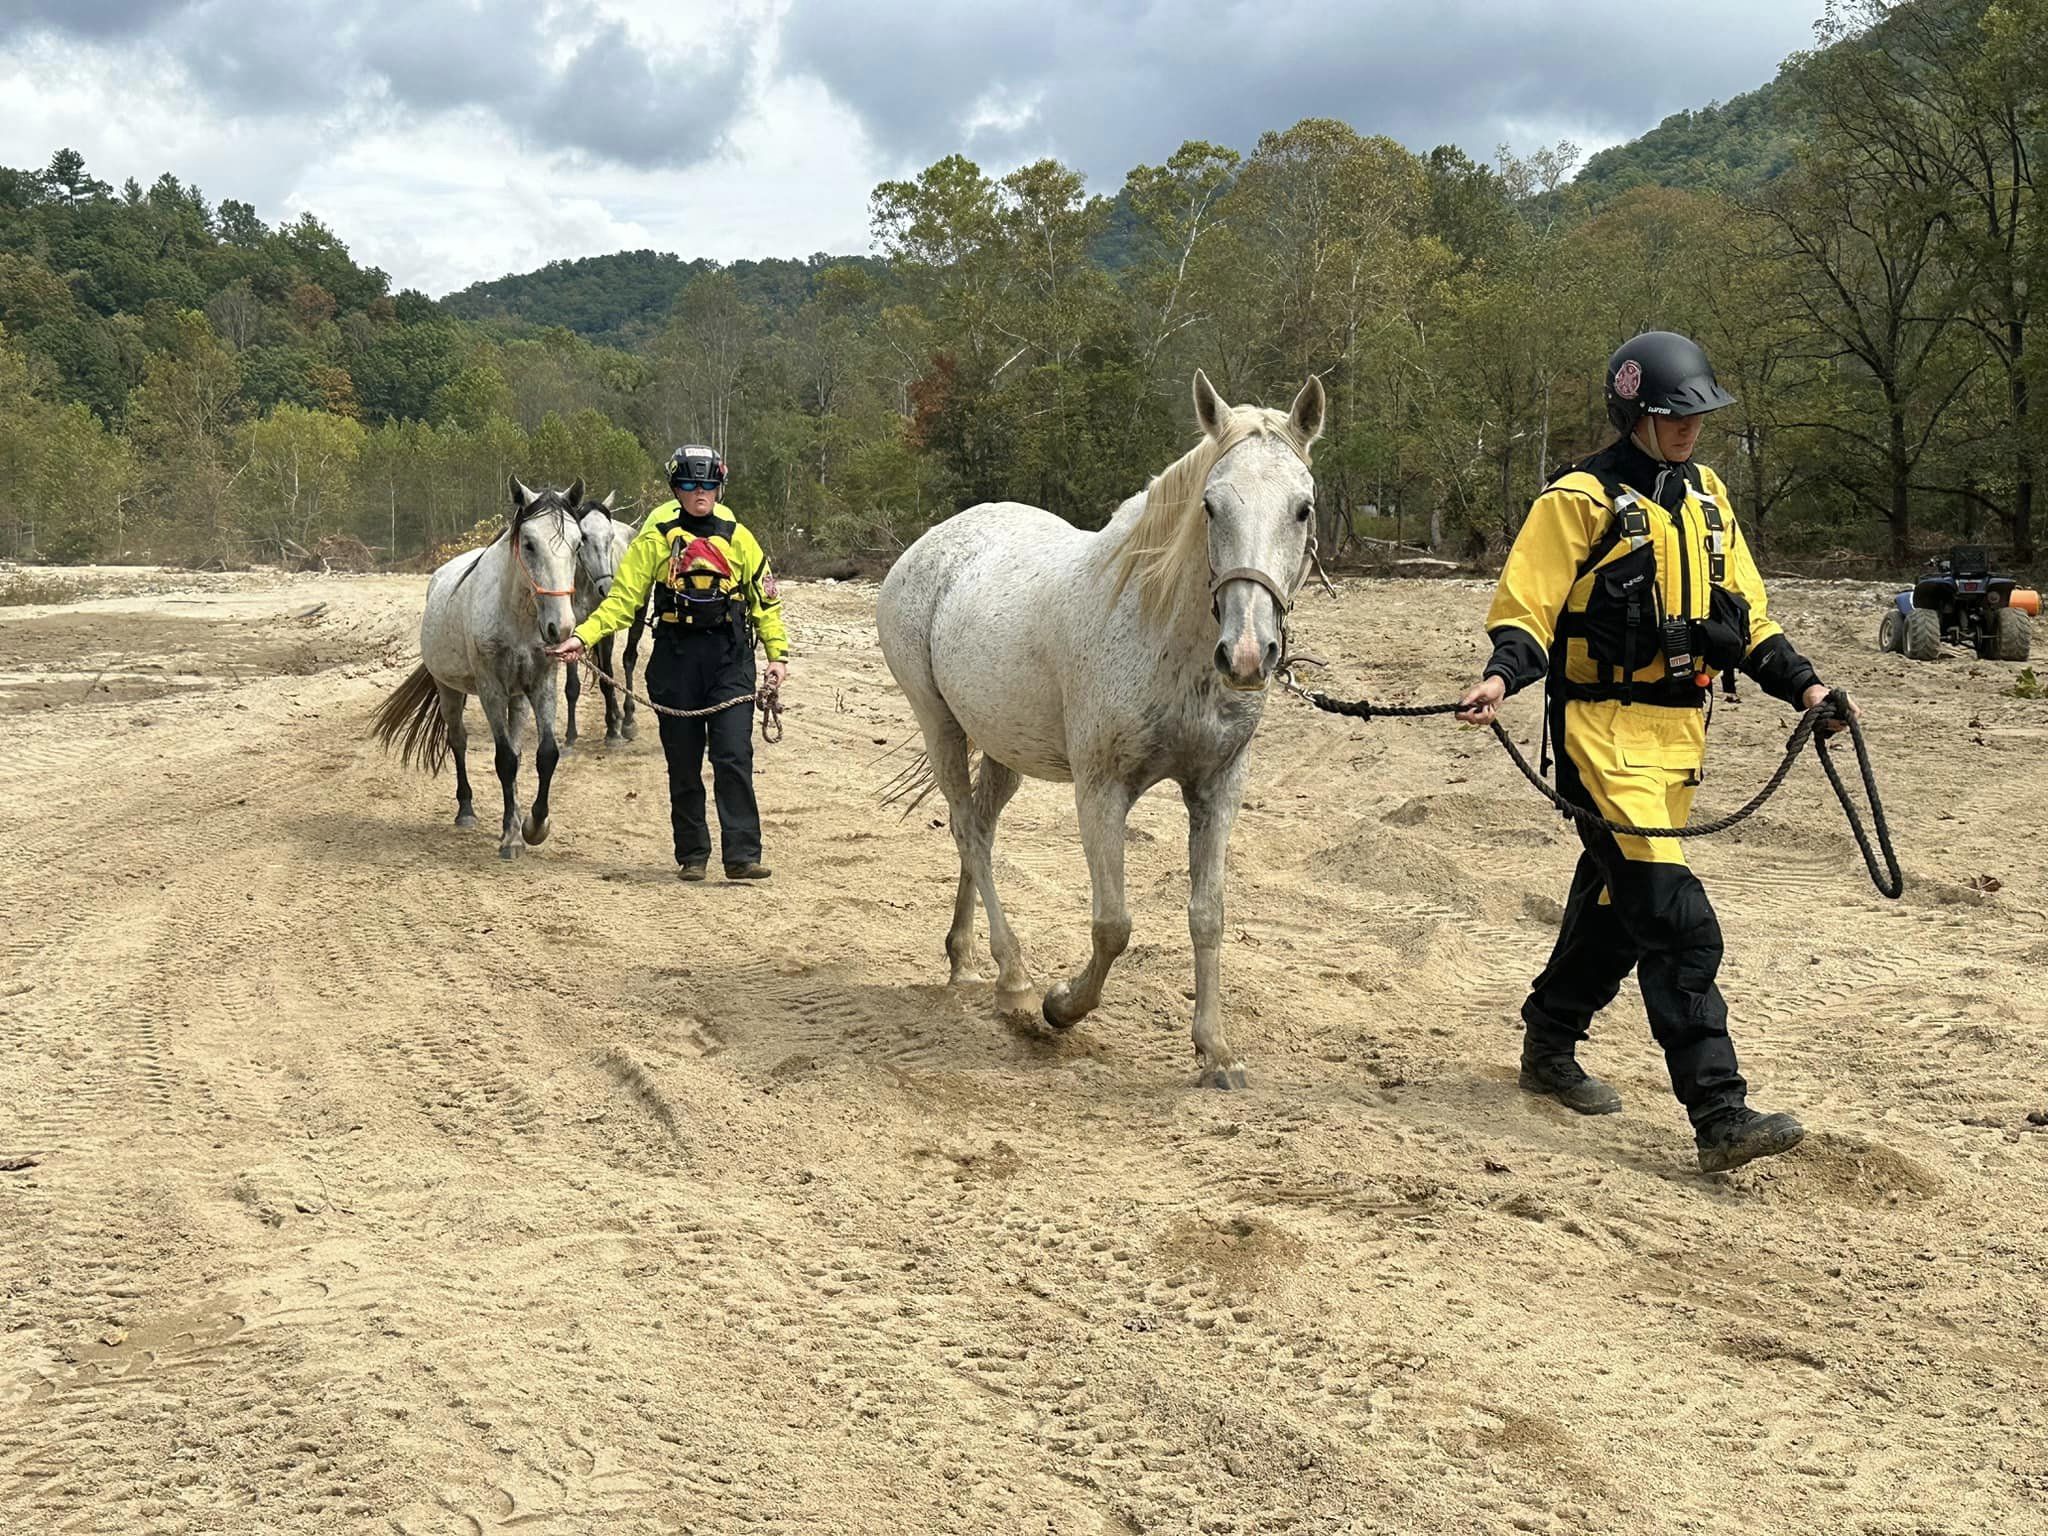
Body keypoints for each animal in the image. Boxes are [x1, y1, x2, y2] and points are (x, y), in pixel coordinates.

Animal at [374, 475, 589, 860]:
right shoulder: (491, 689)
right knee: (458, 741)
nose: (560, 628)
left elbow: (544, 754)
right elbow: (504, 760)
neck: (517, 617)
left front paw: (532, 826)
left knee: (517, 748)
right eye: (529, 544)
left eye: (578, 544)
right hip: (449, 690)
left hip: (517, 698)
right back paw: (466, 810)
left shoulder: (541, 684)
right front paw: (512, 839)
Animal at [876, 374, 1327, 1097]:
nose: (1247, 655)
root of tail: (929, 546)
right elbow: (1113, 926)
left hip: (1003, 747)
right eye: (1210, 506)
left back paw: (964, 960)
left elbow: (1208, 914)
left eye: (1302, 509)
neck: (1161, 631)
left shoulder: (1217, 788)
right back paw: (1012, 979)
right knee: (969, 831)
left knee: (982, 828)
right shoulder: (1101, 790)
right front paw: (1061, 1006)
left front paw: (1216, 1052)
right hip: (939, 723)